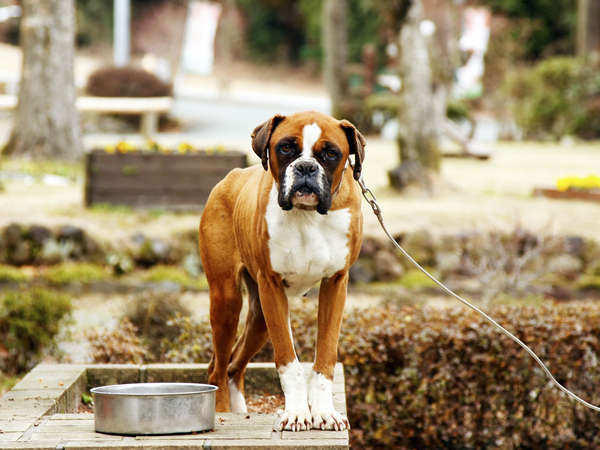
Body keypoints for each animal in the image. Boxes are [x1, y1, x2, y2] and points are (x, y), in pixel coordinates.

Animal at [199, 110, 364, 430]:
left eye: (331, 154)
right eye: (286, 147)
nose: (305, 167)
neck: (307, 216)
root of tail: (232, 176)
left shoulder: (335, 284)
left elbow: (325, 357)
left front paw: (324, 412)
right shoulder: (272, 287)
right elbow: (289, 362)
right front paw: (298, 412)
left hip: (260, 319)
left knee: (234, 365)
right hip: (228, 302)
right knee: (219, 367)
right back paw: (223, 411)